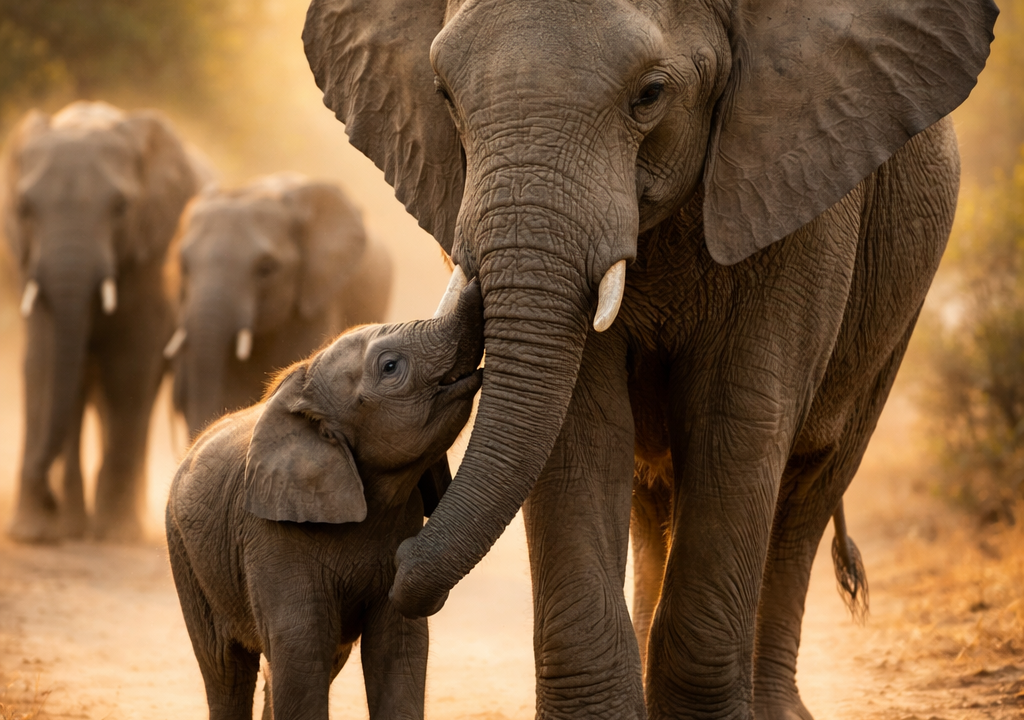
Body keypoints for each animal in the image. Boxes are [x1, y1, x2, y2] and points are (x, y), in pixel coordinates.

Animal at [1, 101, 206, 543]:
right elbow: (44, 363)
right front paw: (36, 534)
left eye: (120, 208)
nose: (48, 497)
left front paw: (114, 534)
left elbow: (128, 367)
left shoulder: (151, 250)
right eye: (25, 209)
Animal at [166, 281, 484, 720]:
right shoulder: (272, 535)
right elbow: (301, 648)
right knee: (226, 670)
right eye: (390, 367)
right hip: (186, 556)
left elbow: (398, 648)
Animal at [303, 0, 999, 717]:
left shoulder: (800, 184)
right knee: (652, 497)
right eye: (443, 94)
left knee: (808, 491)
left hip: (899, 305)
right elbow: (577, 430)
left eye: (650, 94)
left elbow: (735, 424)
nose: (402, 559)